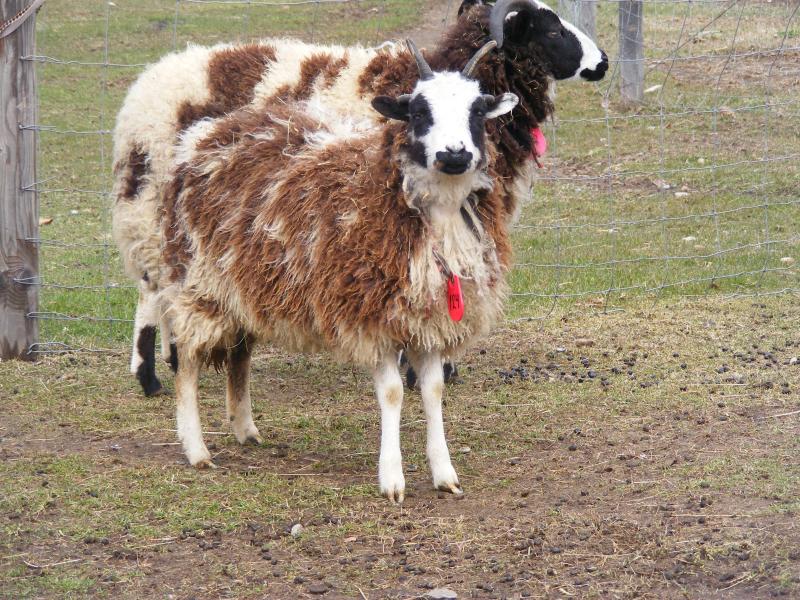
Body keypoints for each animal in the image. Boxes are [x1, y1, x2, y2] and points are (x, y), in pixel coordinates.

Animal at [112, 0, 608, 397]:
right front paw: (428, 367)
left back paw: (175, 357)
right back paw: (149, 375)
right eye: (551, 30)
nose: (602, 62)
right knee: (151, 288)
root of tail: (146, 83)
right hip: (150, 198)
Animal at [160, 40, 517, 502]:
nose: (454, 154)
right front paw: (392, 480)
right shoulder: (372, 317)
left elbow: (434, 390)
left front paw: (444, 474)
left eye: (477, 111)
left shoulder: (429, 317)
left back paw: (245, 429)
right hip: (199, 281)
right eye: (419, 111)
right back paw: (196, 449)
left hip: (246, 283)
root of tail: (209, 133)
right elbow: (392, 393)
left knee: (240, 354)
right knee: (187, 360)